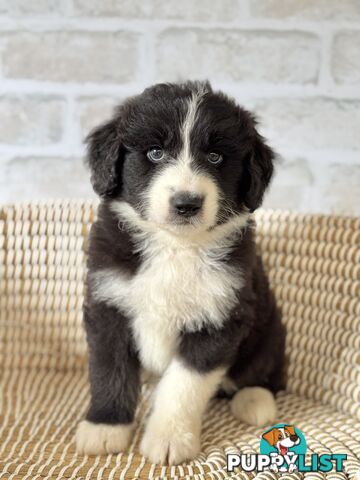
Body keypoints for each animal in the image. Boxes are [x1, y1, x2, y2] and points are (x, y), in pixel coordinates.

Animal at [76, 81, 286, 464]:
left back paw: (255, 400)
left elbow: (183, 385)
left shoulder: (221, 317)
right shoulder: (108, 302)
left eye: (216, 157)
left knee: (267, 369)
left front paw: (170, 438)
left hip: (268, 326)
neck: (175, 246)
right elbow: (110, 370)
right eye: (156, 153)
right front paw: (105, 427)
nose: (187, 204)